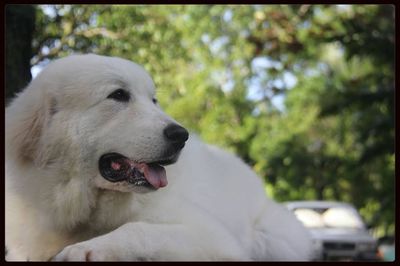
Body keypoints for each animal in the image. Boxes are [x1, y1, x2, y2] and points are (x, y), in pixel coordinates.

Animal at [5, 54, 312, 262]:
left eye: (153, 100)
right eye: (118, 95)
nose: (181, 135)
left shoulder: (213, 237)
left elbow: (138, 229)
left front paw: (87, 249)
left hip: (270, 237)